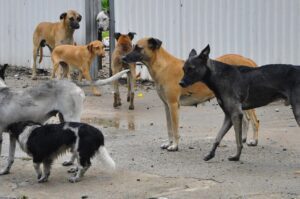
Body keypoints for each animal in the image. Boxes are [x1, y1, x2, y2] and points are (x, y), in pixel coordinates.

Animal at [122, 37, 260, 151]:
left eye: (139, 48)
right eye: (133, 46)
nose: (123, 58)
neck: (163, 66)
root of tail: (247, 60)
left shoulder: (173, 105)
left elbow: (175, 128)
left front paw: (175, 146)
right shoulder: (167, 106)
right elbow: (169, 127)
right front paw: (169, 143)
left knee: (255, 121)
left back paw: (254, 141)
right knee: (246, 120)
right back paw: (242, 139)